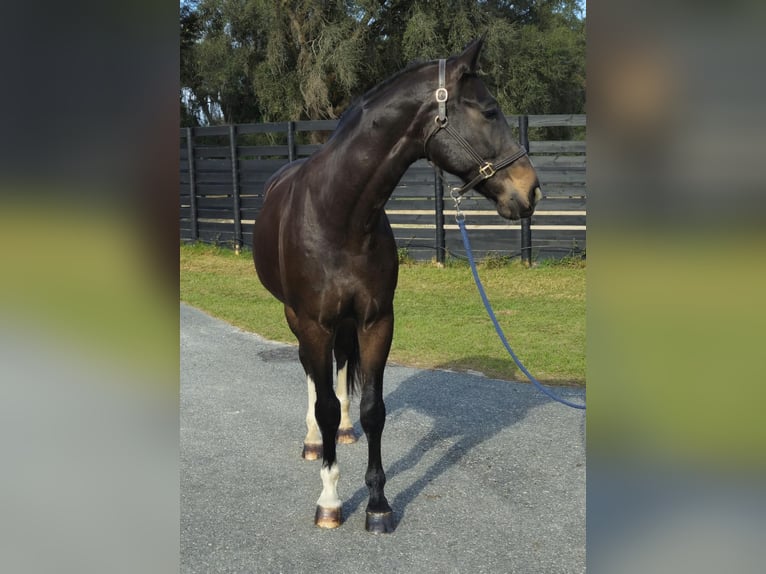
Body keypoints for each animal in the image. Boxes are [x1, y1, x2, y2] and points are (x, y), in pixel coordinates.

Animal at [252, 37, 541, 533]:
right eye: (489, 110)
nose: (531, 190)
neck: (340, 217)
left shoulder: (376, 321)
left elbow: (373, 409)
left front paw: (377, 504)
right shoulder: (313, 322)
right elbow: (325, 403)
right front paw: (330, 500)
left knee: (340, 372)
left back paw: (342, 433)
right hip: (296, 319)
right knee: (312, 375)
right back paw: (314, 441)